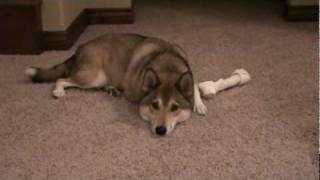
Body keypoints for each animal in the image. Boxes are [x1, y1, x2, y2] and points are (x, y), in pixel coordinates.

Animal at [25, 33, 208, 136]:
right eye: (155, 105)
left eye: (174, 107)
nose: (160, 131)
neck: (168, 69)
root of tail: (81, 47)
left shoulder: (189, 72)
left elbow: (195, 84)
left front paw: (199, 104)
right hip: (93, 77)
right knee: (62, 79)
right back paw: (59, 91)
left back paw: (111, 88)